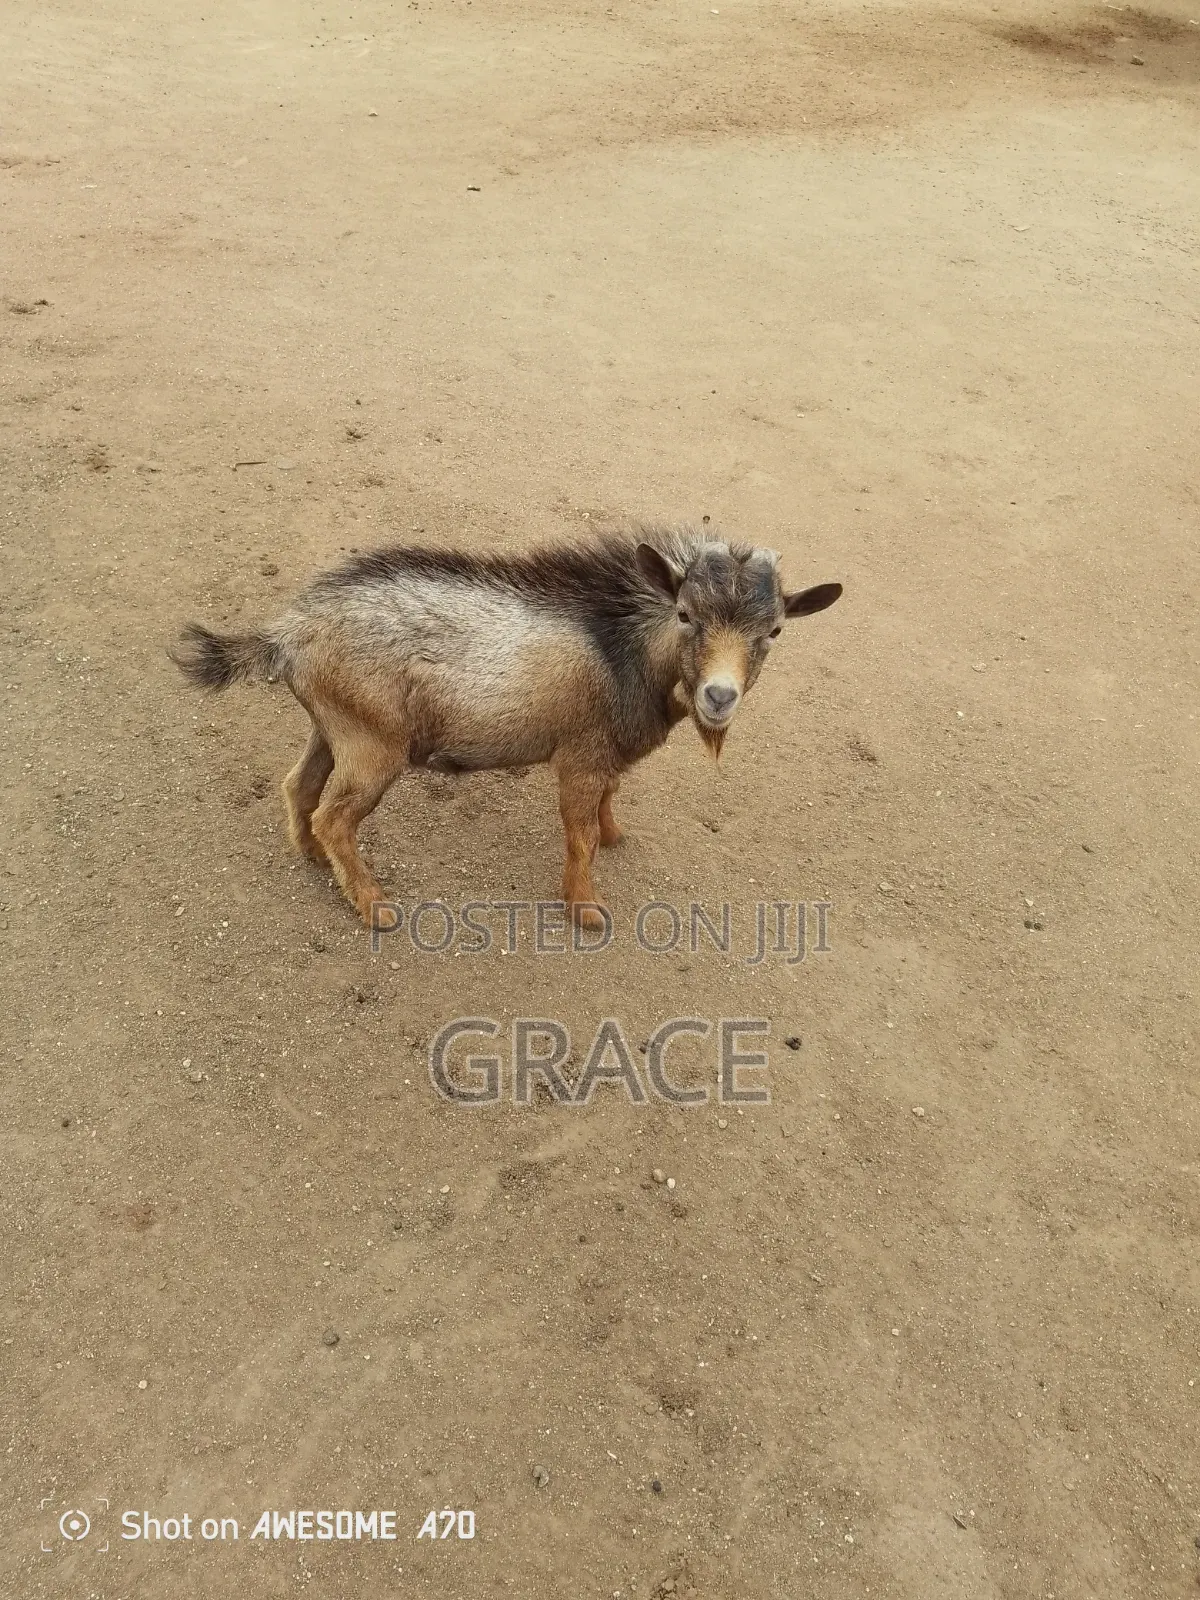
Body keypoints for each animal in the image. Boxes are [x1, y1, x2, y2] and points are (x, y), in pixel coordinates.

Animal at [169, 525, 842, 929]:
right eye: (685, 614)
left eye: (774, 630)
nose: (719, 697)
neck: (621, 651)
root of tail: (288, 634)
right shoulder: (580, 757)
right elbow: (579, 836)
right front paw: (586, 910)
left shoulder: (608, 756)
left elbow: (608, 805)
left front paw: (616, 834)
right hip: (374, 747)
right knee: (335, 815)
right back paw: (374, 907)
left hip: (335, 729)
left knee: (300, 787)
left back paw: (312, 857)